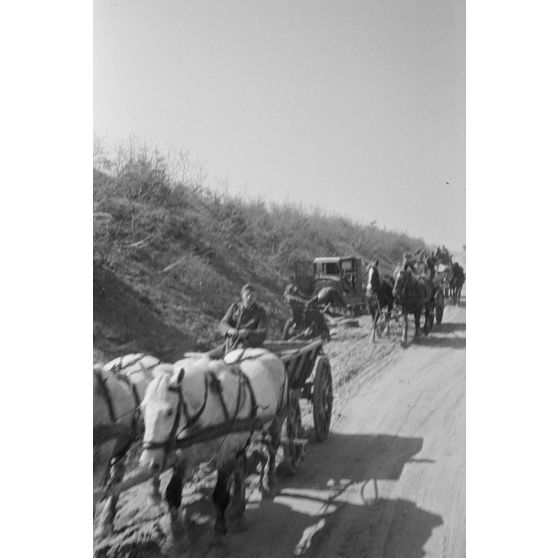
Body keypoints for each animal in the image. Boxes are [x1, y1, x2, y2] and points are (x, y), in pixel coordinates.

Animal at [140, 350, 290, 548]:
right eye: (142, 409)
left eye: (169, 411)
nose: (148, 462)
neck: (209, 410)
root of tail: (268, 353)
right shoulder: (187, 458)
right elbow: (172, 493)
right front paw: (177, 535)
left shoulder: (224, 455)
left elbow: (219, 495)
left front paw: (219, 530)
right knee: (241, 466)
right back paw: (237, 511)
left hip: (276, 420)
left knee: (272, 448)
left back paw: (269, 479)